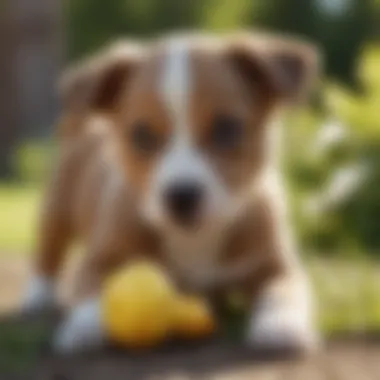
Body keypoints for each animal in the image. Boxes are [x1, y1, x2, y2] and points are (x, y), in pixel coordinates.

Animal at [23, 32, 320, 354]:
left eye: (226, 128)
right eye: (141, 134)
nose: (182, 195)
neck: (194, 239)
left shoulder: (276, 266)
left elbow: (283, 291)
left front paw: (282, 323)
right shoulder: (99, 261)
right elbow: (92, 291)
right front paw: (83, 327)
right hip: (56, 207)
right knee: (48, 251)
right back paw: (36, 296)